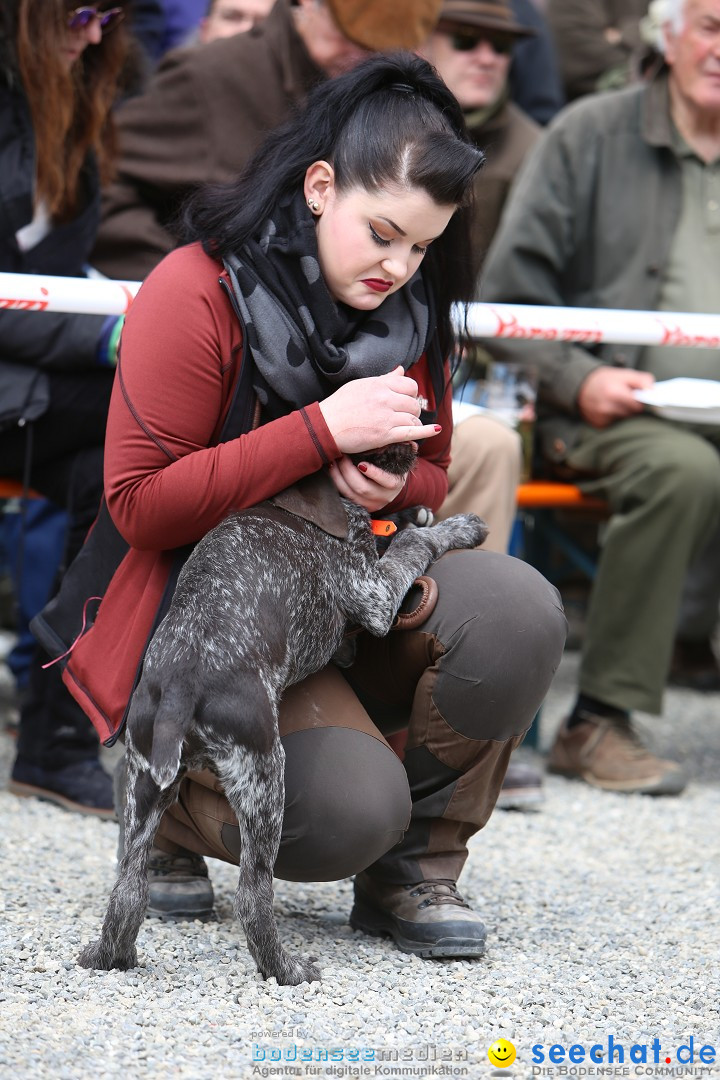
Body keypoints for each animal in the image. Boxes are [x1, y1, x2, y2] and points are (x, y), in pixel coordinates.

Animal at [78, 447, 490, 989]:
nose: (420, 447)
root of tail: (182, 686)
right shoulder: (374, 592)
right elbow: (413, 544)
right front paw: (455, 526)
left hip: (143, 781)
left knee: (129, 886)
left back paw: (110, 956)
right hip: (264, 778)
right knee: (253, 896)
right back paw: (287, 969)